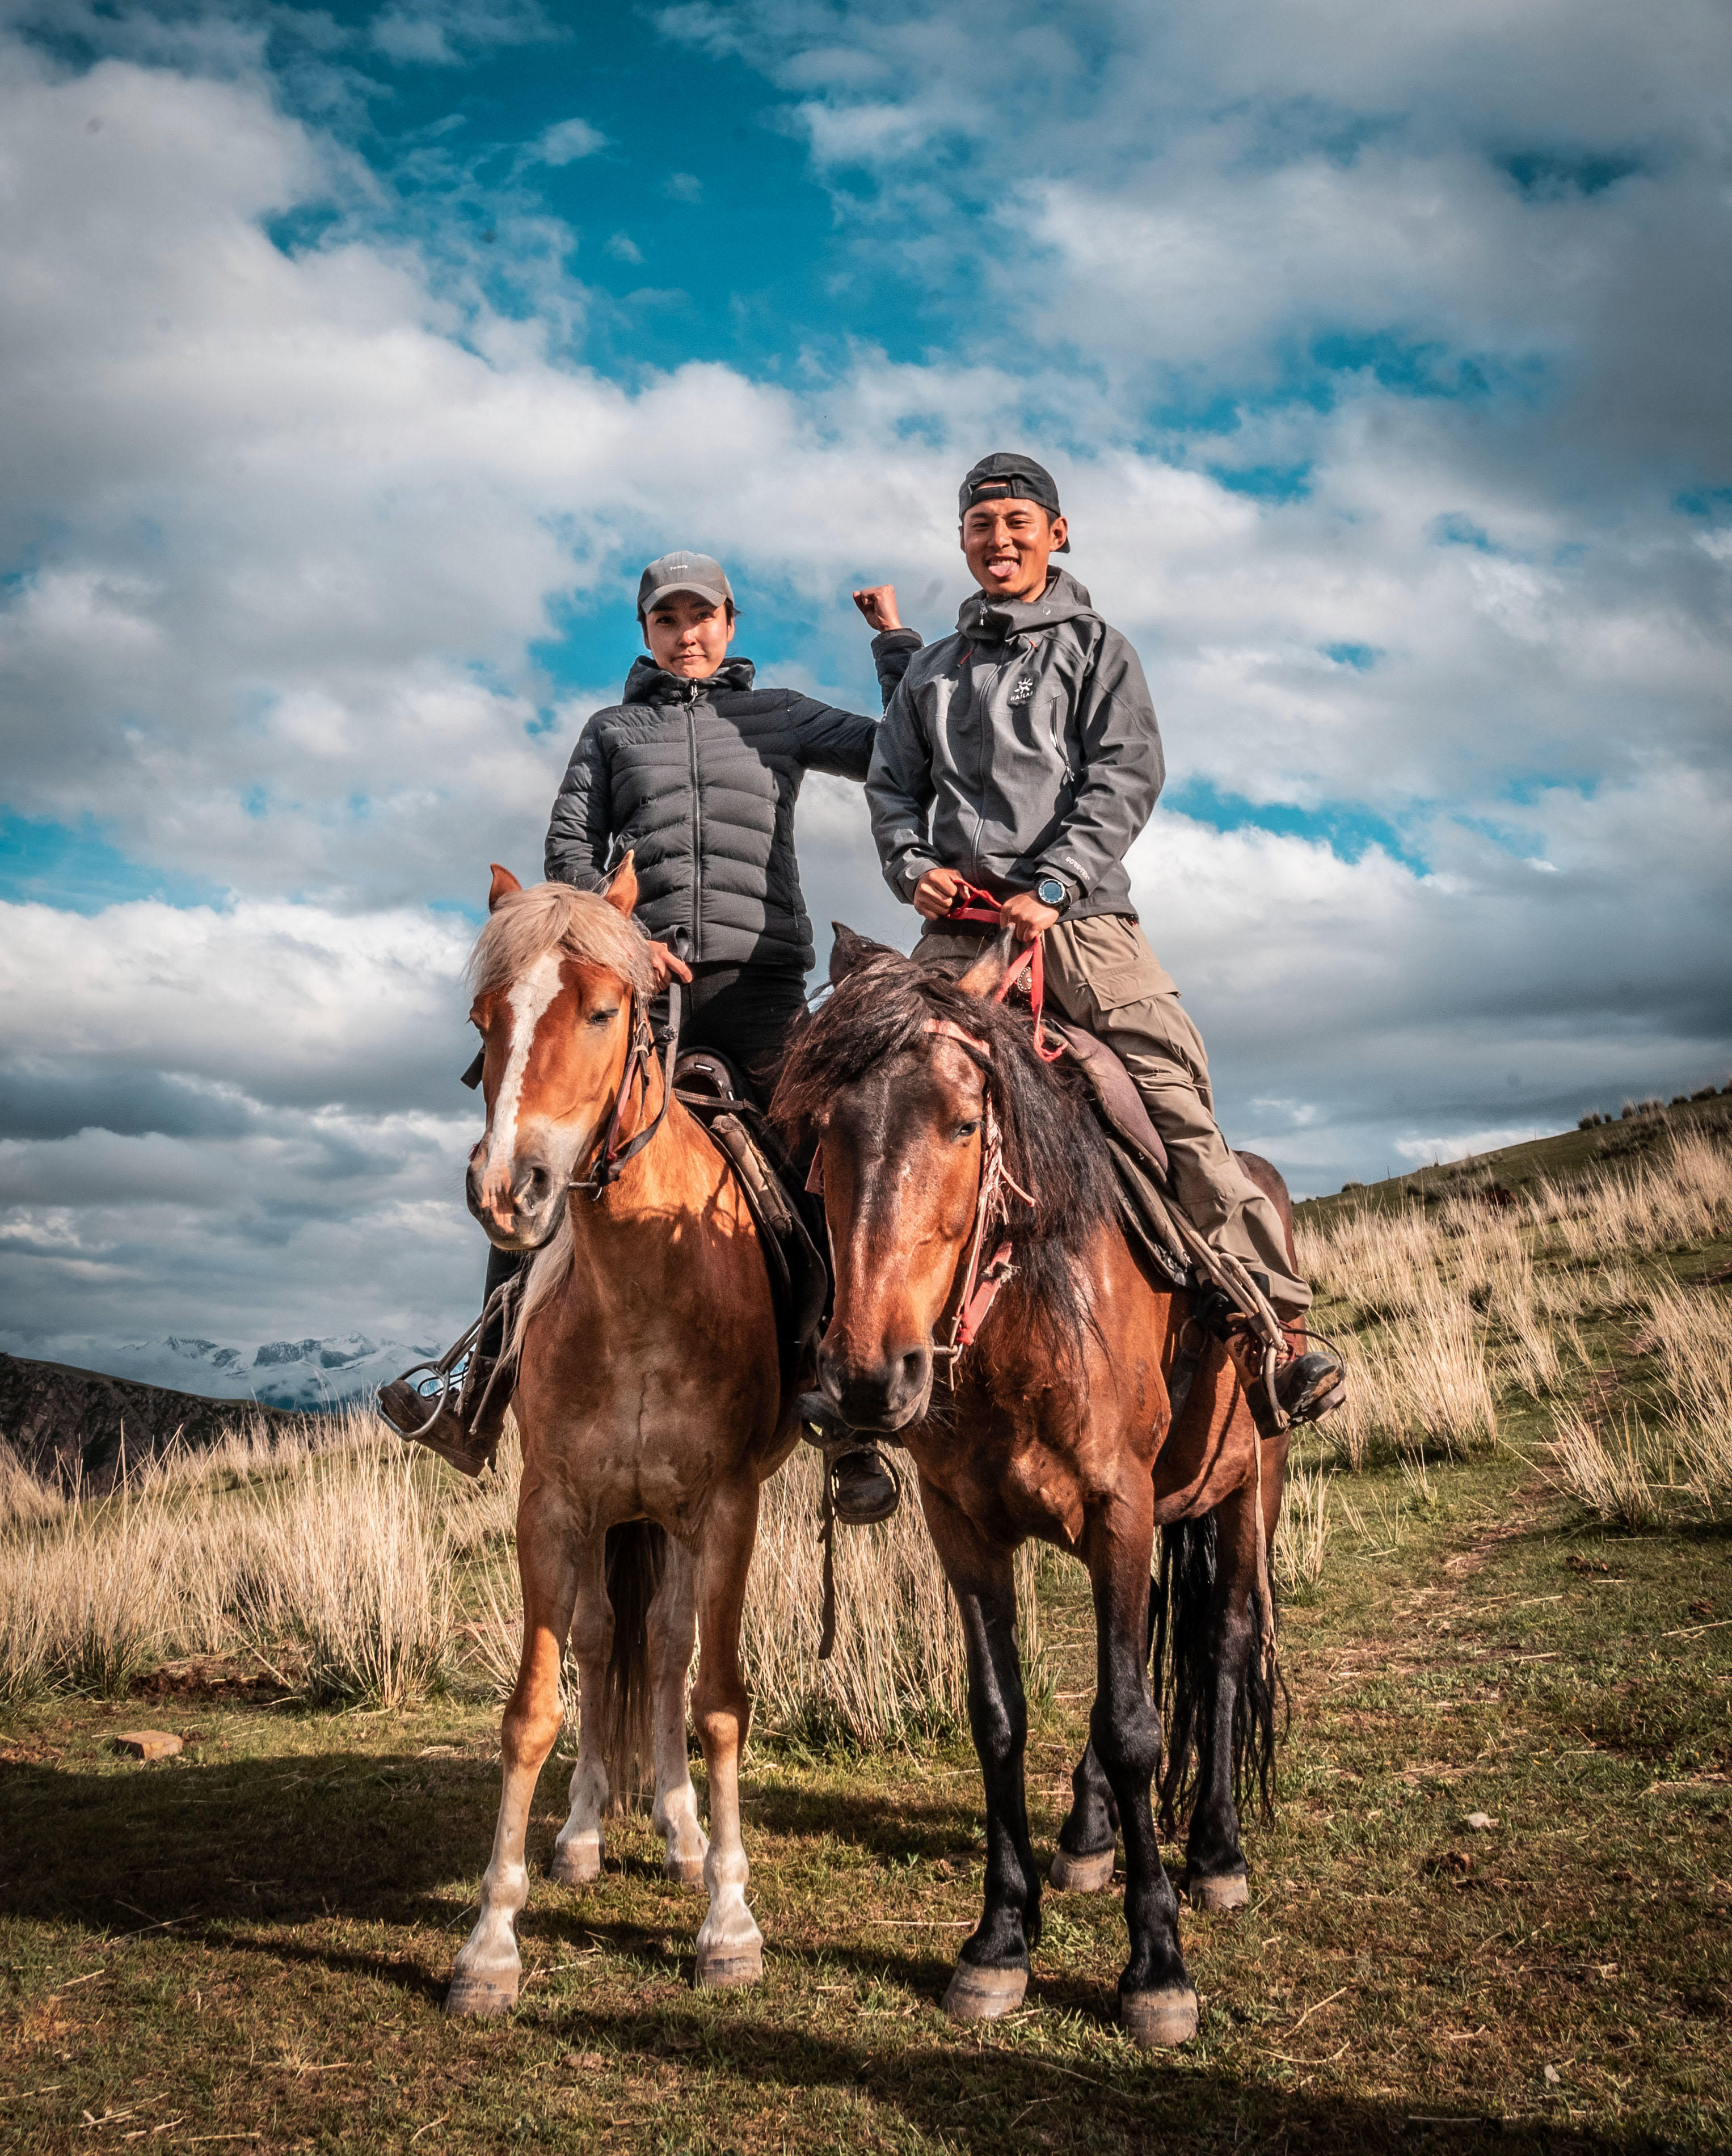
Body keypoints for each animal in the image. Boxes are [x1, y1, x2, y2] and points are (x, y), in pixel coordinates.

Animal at [446, 867, 798, 2009]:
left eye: (603, 1011)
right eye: (485, 1022)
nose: (506, 1189)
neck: (645, 1290)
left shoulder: (726, 1508)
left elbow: (719, 1701)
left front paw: (728, 1922)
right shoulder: (552, 1506)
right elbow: (532, 1710)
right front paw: (489, 1942)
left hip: (675, 1522)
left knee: (671, 1645)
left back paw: (683, 1833)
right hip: (615, 1516)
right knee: (610, 1643)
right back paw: (587, 1832)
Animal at [781, 935, 1294, 2044]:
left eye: (963, 1122)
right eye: (824, 1134)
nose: (866, 1378)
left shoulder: (1119, 1511)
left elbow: (1135, 1724)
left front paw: (1156, 1966)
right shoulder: (966, 1528)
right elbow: (1002, 1715)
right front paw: (999, 1942)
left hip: (1245, 1493)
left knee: (1224, 1643)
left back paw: (1217, 1853)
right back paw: (1090, 1838)